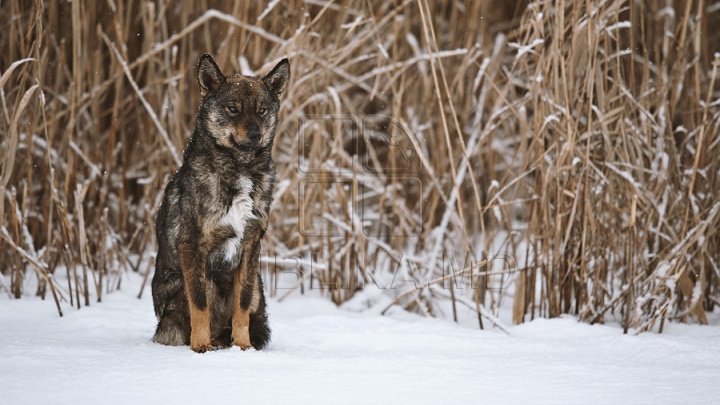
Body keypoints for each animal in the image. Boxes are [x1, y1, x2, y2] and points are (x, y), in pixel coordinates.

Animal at [150, 52, 288, 350]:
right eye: (233, 109)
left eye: (262, 110)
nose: (255, 135)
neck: (240, 169)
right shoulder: (192, 247)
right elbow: (200, 305)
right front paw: (200, 347)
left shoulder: (250, 247)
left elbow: (242, 306)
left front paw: (243, 346)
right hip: (191, 283)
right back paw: (207, 341)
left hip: (258, 285)